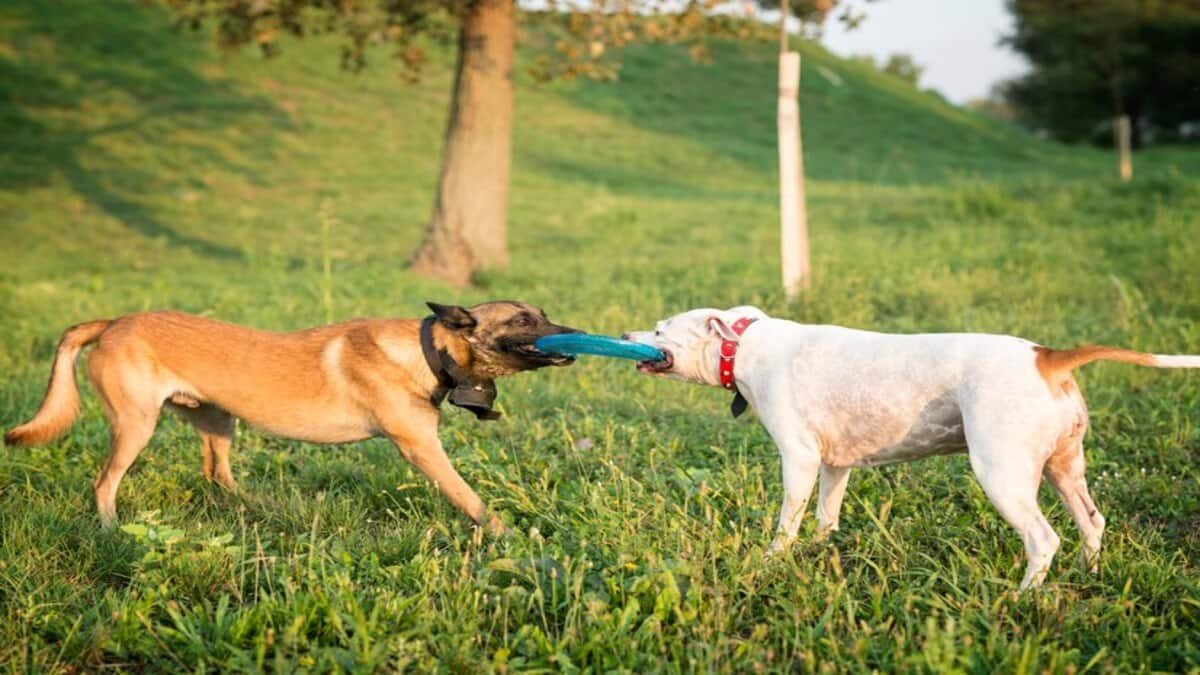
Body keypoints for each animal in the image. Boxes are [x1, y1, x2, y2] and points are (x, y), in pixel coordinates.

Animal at [3, 303, 576, 530]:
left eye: (544, 313)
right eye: (522, 319)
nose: (573, 333)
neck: (426, 348)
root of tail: (113, 322)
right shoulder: (422, 449)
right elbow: (469, 497)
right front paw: (507, 533)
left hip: (219, 422)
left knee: (218, 475)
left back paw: (267, 507)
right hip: (135, 426)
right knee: (104, 483)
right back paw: (110, 531)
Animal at [628, 307, 1200, 586]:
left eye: (659, 329)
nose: (627, 335)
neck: (743, 344)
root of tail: (1047, 357)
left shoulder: (799, 459)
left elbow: (787, 522)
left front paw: (772, 561)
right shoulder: (835, 465)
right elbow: (826, 517)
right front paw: (820, 551)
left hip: (1001, 473)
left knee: (1043, 539)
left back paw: (1023, 598)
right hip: (1064, 467)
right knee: (1092, 521)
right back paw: (1091, 573)